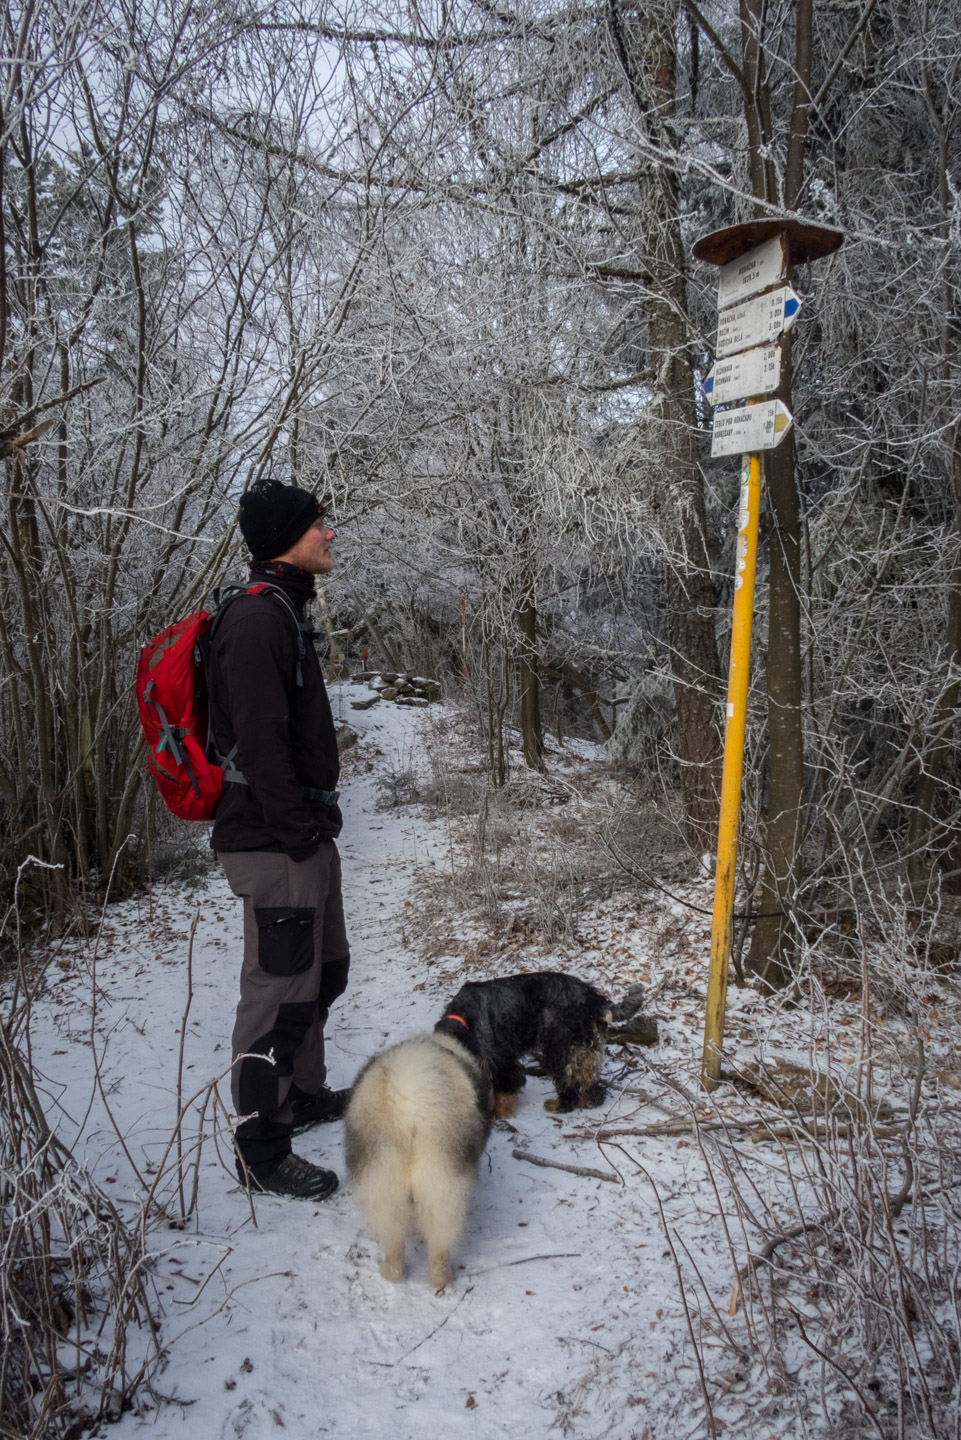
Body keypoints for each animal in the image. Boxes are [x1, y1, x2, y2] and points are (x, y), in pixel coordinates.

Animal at [344, 1031, 492, 1290]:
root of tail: (408, 1102)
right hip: (441, 1183)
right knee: (439, 1240)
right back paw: (443, 1277)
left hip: (382, 1177)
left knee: (393, 1237)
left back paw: (391, 1273)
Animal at [435, 973, 645, 1117]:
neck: (462, 1019)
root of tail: (592, 998)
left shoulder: (503, 1061)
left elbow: (503, 1090)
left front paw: (499, 1113)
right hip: (585, 1049)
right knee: (590, 1079)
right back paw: (589, 1101)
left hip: (558, 1048)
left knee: (568, 1083)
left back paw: (560, 1105)